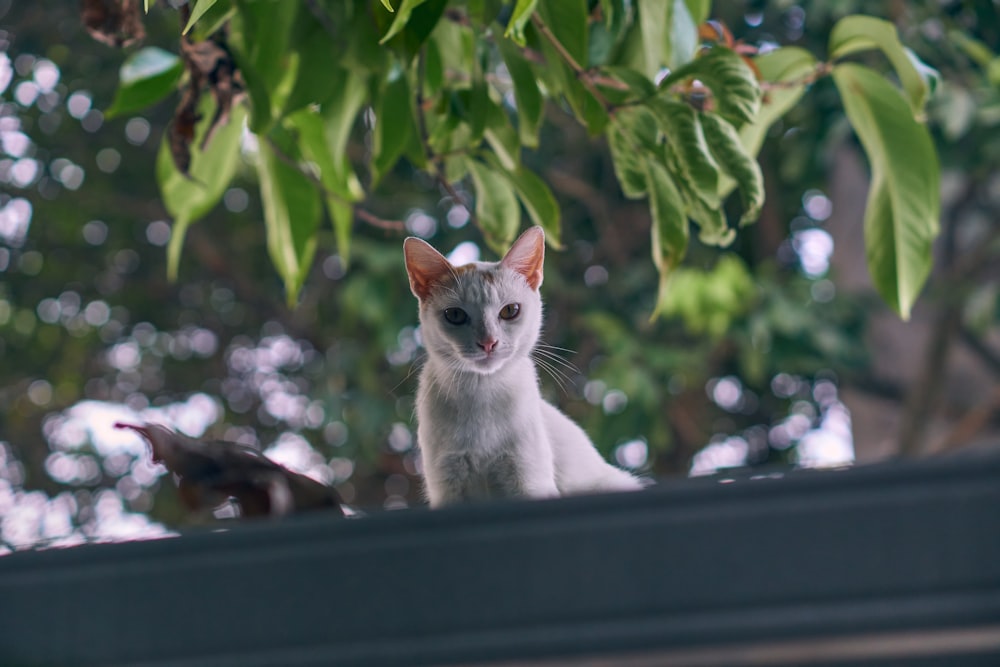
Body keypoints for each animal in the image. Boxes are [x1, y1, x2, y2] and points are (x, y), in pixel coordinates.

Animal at [402, 224, 644, 506]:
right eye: (455, 315)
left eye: (510, 311)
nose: (488, 342)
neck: (481, 395)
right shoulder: (448, 485)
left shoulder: (528, 478)